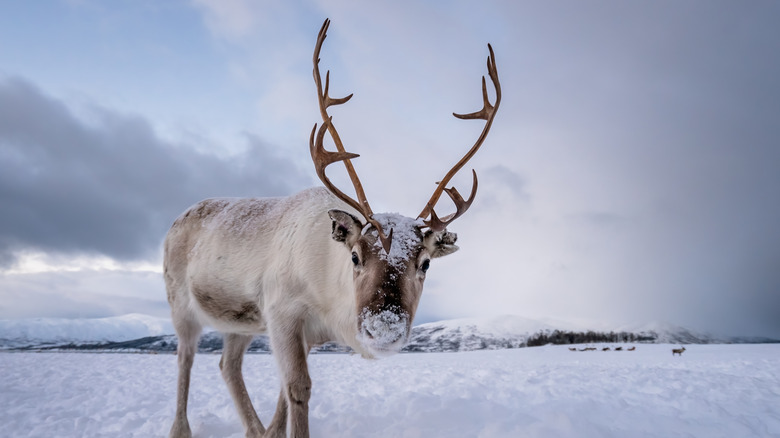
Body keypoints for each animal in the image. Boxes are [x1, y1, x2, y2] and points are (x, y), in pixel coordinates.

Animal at [164, 19, 501, 438]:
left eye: (425, 263)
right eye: (355, 256)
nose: (383, 330)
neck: (329, 301)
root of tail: (179, 218)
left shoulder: (301, 334)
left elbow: (283, 393)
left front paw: (273, 432)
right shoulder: (281, 313)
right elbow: (298, 388)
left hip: (239, 324)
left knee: (228, 365)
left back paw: (254, 429)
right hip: (181, 304)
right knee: (185, 358)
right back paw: (181, 428)